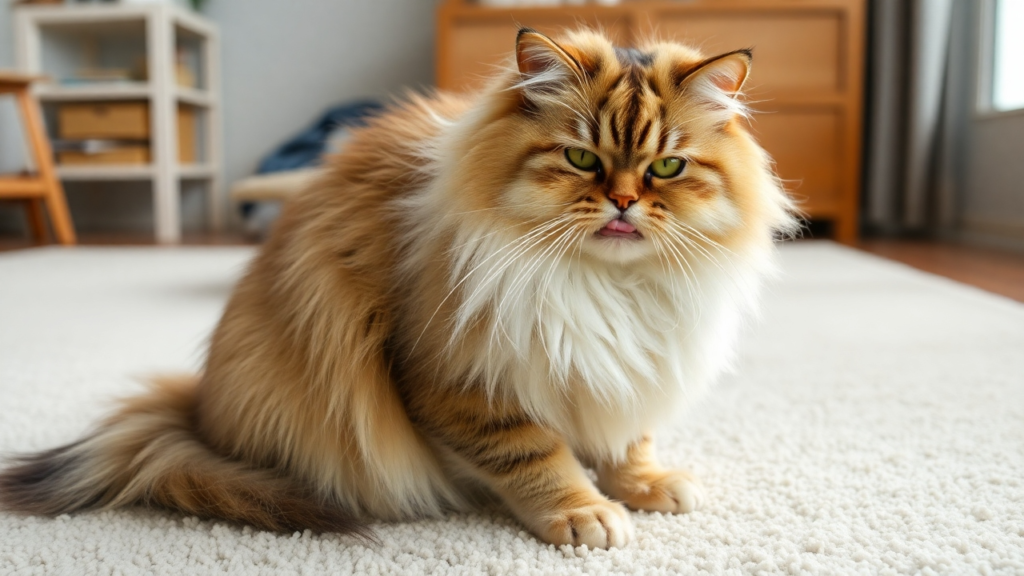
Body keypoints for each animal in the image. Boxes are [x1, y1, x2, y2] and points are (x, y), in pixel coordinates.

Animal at [0, 30, 794, 545]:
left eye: (666, 168)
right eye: (580, 159)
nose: (625, 202)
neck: (608, 288)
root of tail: (194, 415)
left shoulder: (637, 363)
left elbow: (632, 437)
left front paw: (647, 484)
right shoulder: (457, 379)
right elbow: (536, 455)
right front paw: (585, 513)